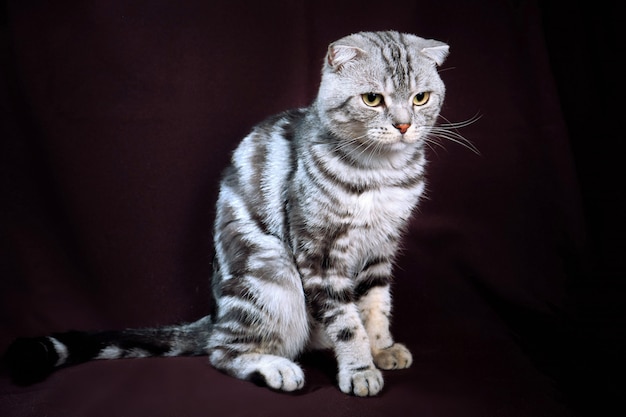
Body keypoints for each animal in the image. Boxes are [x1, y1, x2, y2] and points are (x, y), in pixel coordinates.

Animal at [7, 30, 450, 394]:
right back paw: (277, 368)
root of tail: (214, 312)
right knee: (224, 353)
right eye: (372, 99)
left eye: (421, 98)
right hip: (273, 275)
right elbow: (346, 323)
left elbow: (375, 306)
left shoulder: (381, 247)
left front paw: (382, 348)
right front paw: (360, 369)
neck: (382, 173)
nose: (404, 125)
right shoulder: (320, 254)